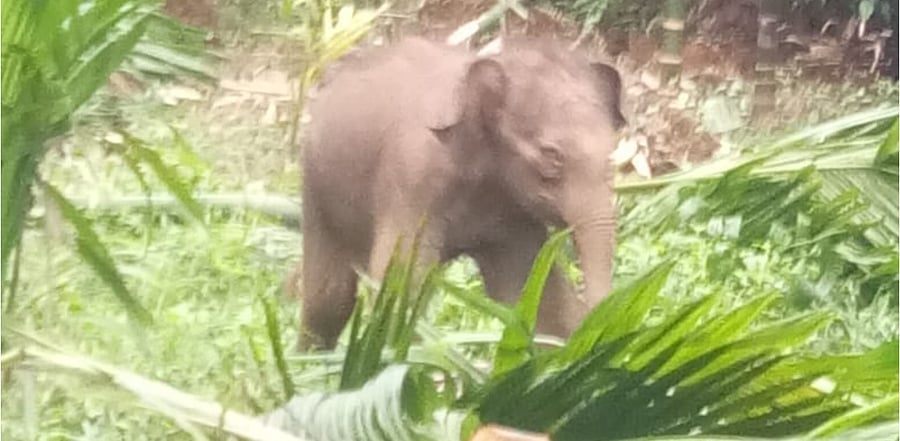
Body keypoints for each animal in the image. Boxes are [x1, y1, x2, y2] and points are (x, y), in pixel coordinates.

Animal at [295, 36, 624, 350]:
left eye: (612, 154)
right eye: (552, 157)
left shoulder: (514, 215)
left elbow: (537, 299)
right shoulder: (414, 175)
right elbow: (400, 283)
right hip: (316, 188)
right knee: (329, 299)